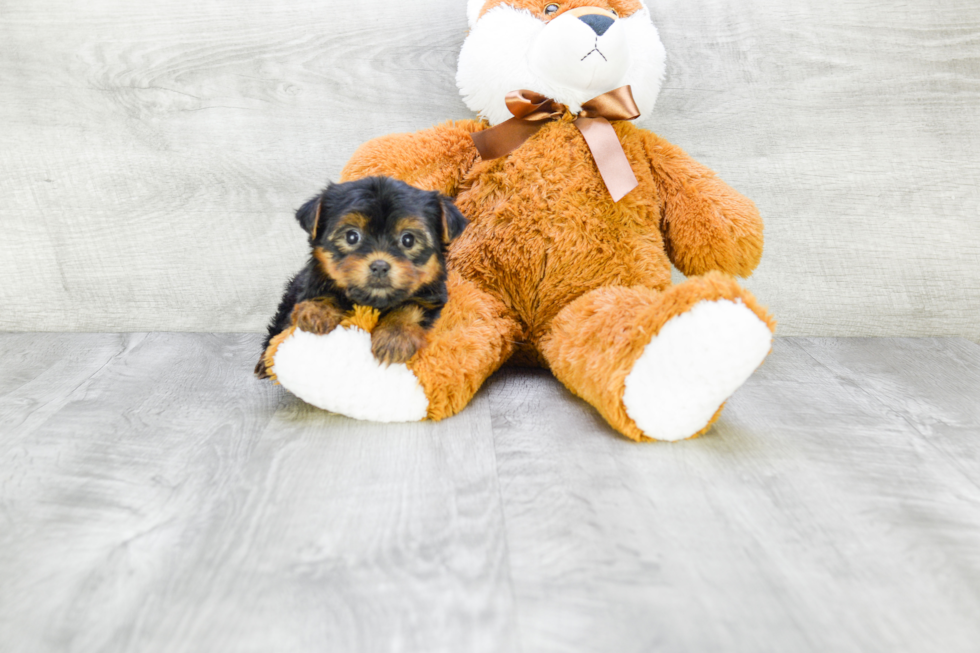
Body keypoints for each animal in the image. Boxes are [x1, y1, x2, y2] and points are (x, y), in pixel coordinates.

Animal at [253, 174, 468, 376]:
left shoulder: (431, 298)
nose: (380, 266)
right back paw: (265, 362)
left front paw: (395, 336)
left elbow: (411, 307)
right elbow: (325, 291)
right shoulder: (313, 281)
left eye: (408, 240)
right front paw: (316, 311)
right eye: (352, 236)